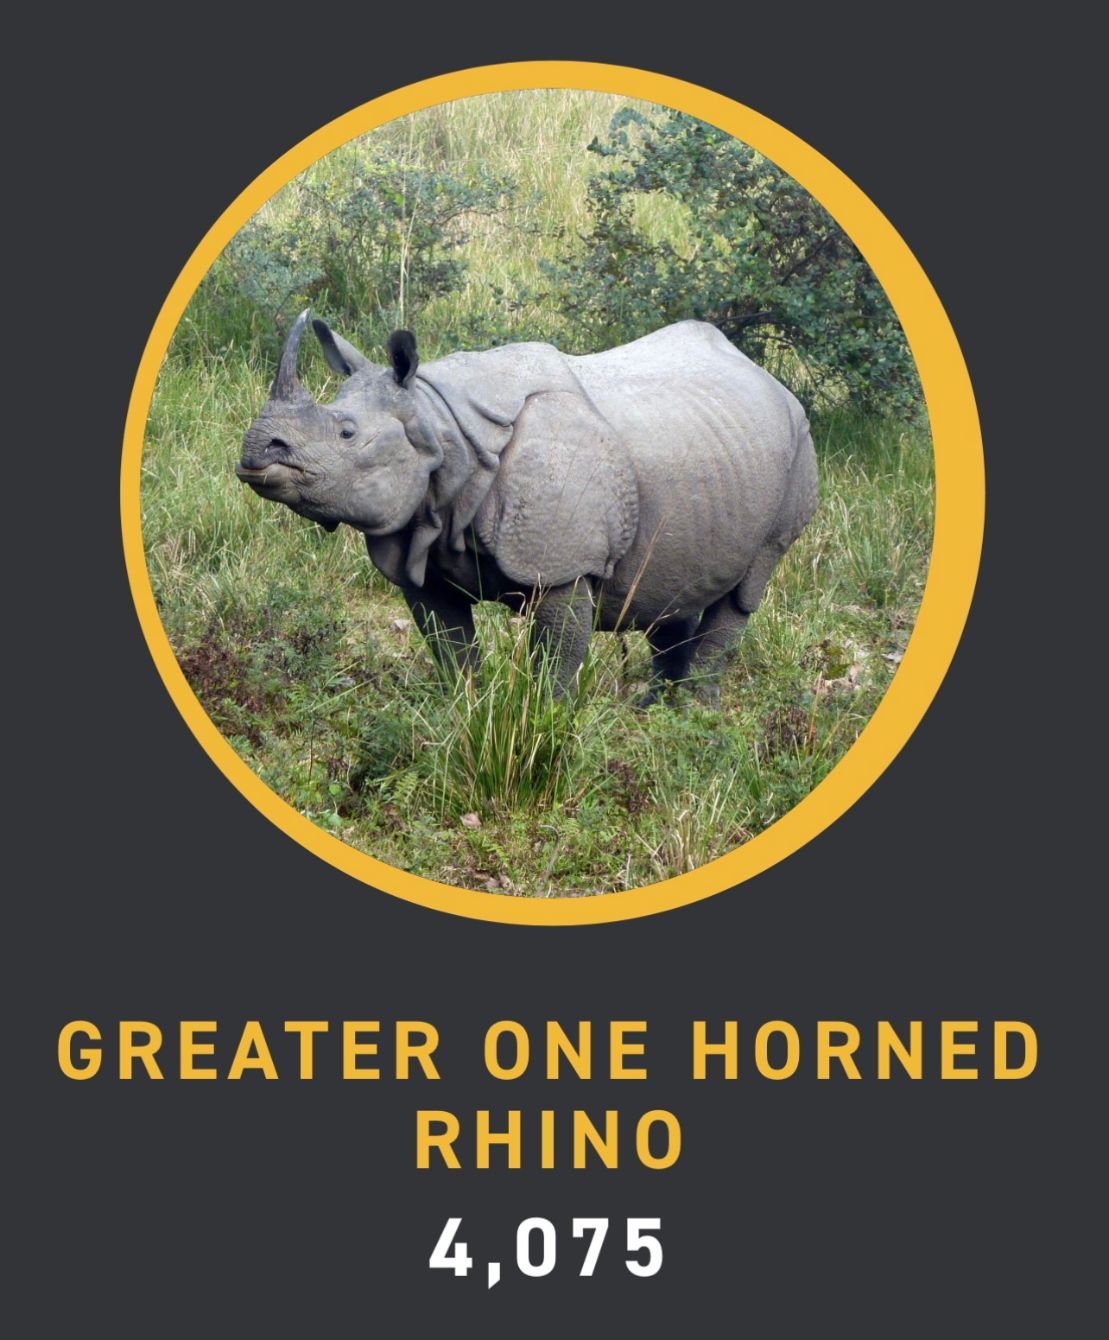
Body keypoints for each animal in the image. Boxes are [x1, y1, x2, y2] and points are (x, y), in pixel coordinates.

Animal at [236, 313, 818, 704]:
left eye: (346, 432)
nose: (256, 451)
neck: (440, 427)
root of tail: (770, 379)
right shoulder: (422, 546)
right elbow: (451, 648)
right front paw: (463, 714)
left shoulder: (561, 567)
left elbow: (557, 659)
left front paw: (543, 728)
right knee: (676, 588)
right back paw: (653, 714)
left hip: (797, 448)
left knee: (745, 591)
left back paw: (693, 719)